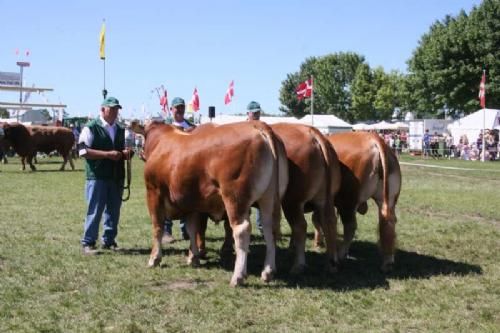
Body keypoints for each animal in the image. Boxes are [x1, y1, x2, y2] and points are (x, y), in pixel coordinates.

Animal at [132, 120, 290, 286]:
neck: (160, 142)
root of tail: (259, 125)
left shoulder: (153, 192)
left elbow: (157, 227)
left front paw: (154, 259)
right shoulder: (191, 202)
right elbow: (192, 228)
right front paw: (193, 258)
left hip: (235, 197)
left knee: (241, 230)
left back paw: (238, 277)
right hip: (269, 198)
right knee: (269, 228)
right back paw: (268, 271)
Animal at [320, 131, 402, 272]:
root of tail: (374, 139)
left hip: (347, 201)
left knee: (350, 226)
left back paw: (340, 254)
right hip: (387, 199)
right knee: (388, 223)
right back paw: (388, 262)